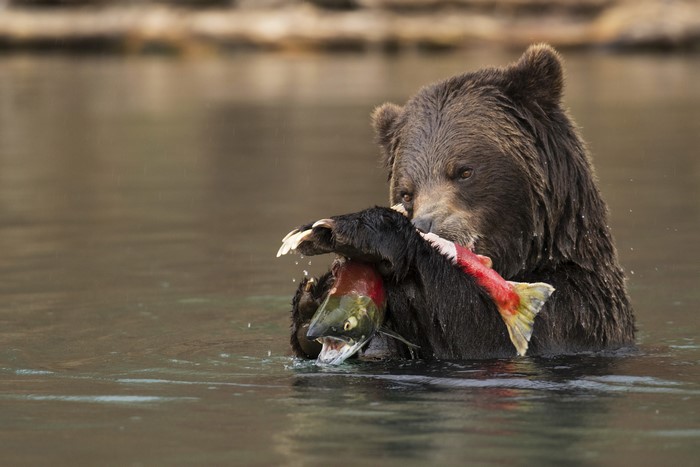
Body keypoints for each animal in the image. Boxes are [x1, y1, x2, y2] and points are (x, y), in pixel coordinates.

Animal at [288, 44, 635, 360]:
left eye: (464, 171)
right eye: (406, 192)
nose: (426, 224)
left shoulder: (581, 312)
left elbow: (479, 331)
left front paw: (361, 232)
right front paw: (315, 294)